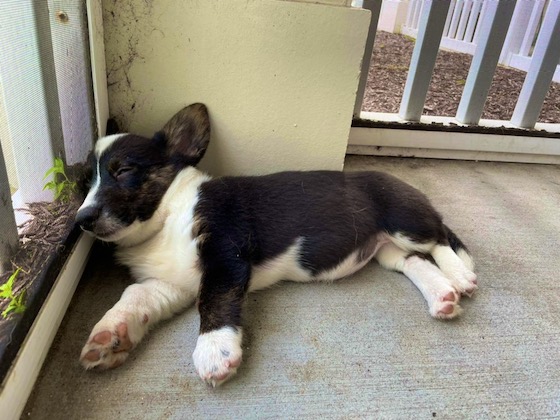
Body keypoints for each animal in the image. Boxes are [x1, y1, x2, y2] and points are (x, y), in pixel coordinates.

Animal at [74, 103, 476, 386]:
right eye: (83, 184)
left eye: (124, 171)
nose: (82, 220)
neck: (165, 217)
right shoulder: (171, 283)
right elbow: (135, 296)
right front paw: (110, 337)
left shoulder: (226, 253)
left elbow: (214, 300)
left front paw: (214, 351)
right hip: (389, 247)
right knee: (410, 261)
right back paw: (442, 295)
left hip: (404, 220)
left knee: (441, 236)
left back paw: (461, 274)